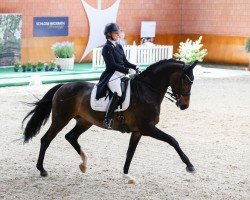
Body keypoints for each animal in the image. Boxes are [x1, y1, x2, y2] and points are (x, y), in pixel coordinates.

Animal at [22, 58, 197, 184]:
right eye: (186, 81)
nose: (184, 105)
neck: (147, 90)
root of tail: (63, 86)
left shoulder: (138, 131)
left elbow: (130, 153)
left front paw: (127, 176)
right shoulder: (147, 128)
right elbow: (172, 140)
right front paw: (189, 166)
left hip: (85, 121)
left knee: (70, 137)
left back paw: (84, 164)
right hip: (61, 119)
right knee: (46, 139)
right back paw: (42, 169)